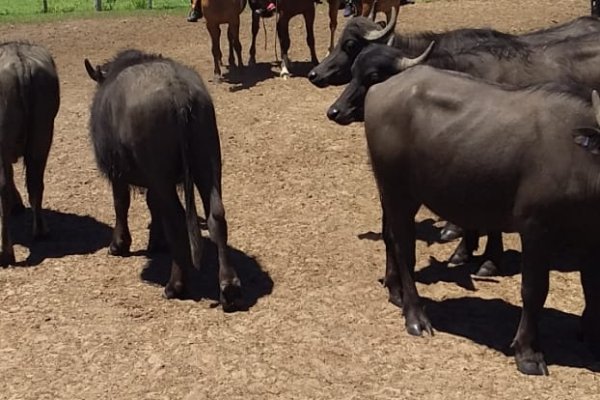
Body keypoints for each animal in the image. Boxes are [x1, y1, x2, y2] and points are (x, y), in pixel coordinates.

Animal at [0, 41, 59, 266]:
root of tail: (21, 63)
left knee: (4, 190)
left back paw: (6, 253)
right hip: (42, 135)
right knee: (35, 183)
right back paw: (41, 230)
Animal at [82, 50, 241, 310]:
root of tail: (179, 93)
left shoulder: (118, 173)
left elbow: (121, 204)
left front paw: (119, 244)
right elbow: (153, 206)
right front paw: (155, 241)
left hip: (162, 175)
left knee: (176, 219)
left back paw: (175, 285)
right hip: (207, 159)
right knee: (216, 215)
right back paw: (229, 287)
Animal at [360, 65, 600, 376]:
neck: (581, 161)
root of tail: (380, 89)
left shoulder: (591, 236)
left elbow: (592, 289)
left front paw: (593, 341)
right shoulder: (535, 230)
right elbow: (534, 290)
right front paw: (528, 352)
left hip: (389, 191)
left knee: (389, 237)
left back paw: (396, 291)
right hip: (398, 191)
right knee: (404, 250)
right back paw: (415, 315)